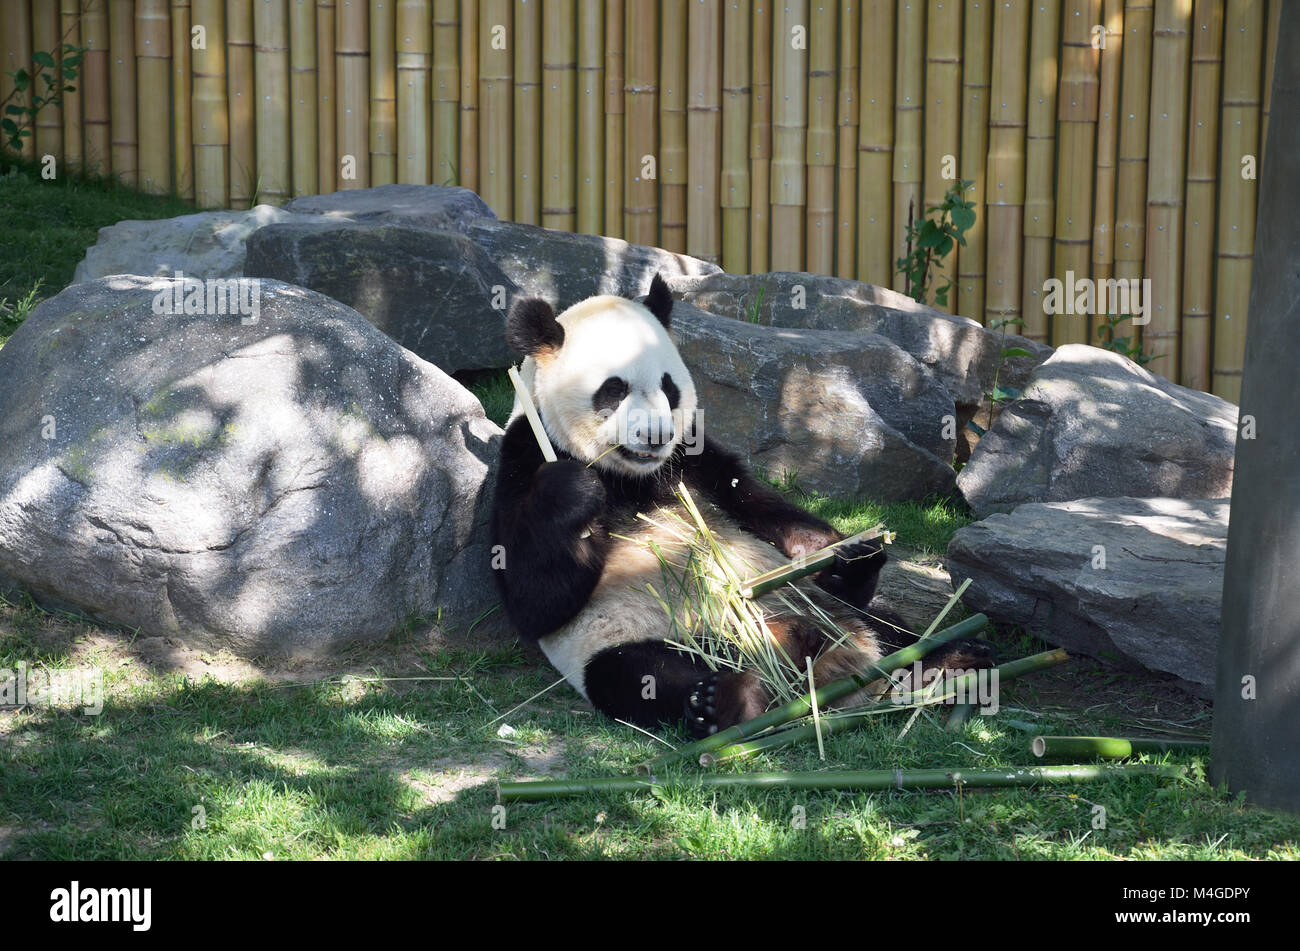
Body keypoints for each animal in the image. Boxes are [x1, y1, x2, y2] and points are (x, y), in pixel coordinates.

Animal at [491, 274, 990, 737]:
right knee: (641, 672)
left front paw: (848, 554)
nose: (656, 435)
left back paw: (950, 659)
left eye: (669, 388)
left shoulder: (696, 458)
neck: (633, 475)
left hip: (811, 603)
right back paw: (732, 699)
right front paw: (575, 490)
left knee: (886, 623)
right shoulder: (524, 453)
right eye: (613, 389)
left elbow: (763, 507)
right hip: (649, 634)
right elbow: (534, 600)